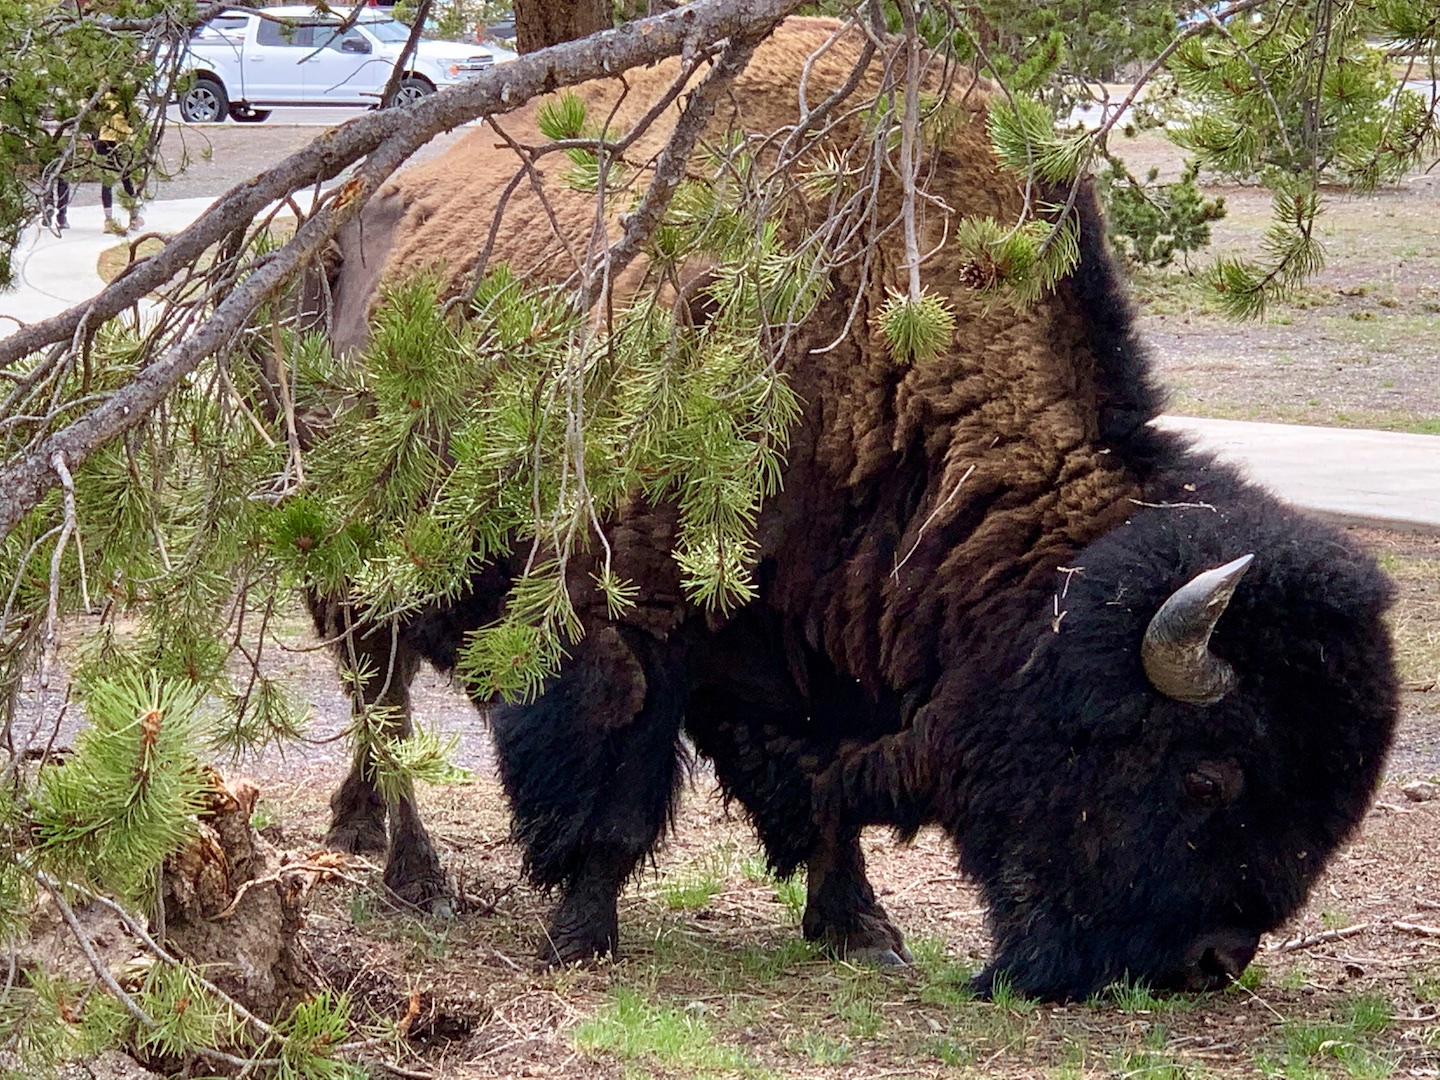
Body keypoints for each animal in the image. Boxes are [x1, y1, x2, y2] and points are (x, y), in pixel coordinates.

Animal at [309, 16, 1399, 1002]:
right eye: (1208, 778)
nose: (1211, 964)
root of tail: (345, 214)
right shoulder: (620, 618)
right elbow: (614, 792)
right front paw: (580, 938)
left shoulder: (820, 648)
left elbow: (828, 799)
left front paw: (861, 930)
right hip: (360, 571)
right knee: (384, 706)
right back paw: (414, 877)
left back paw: (357, 832)